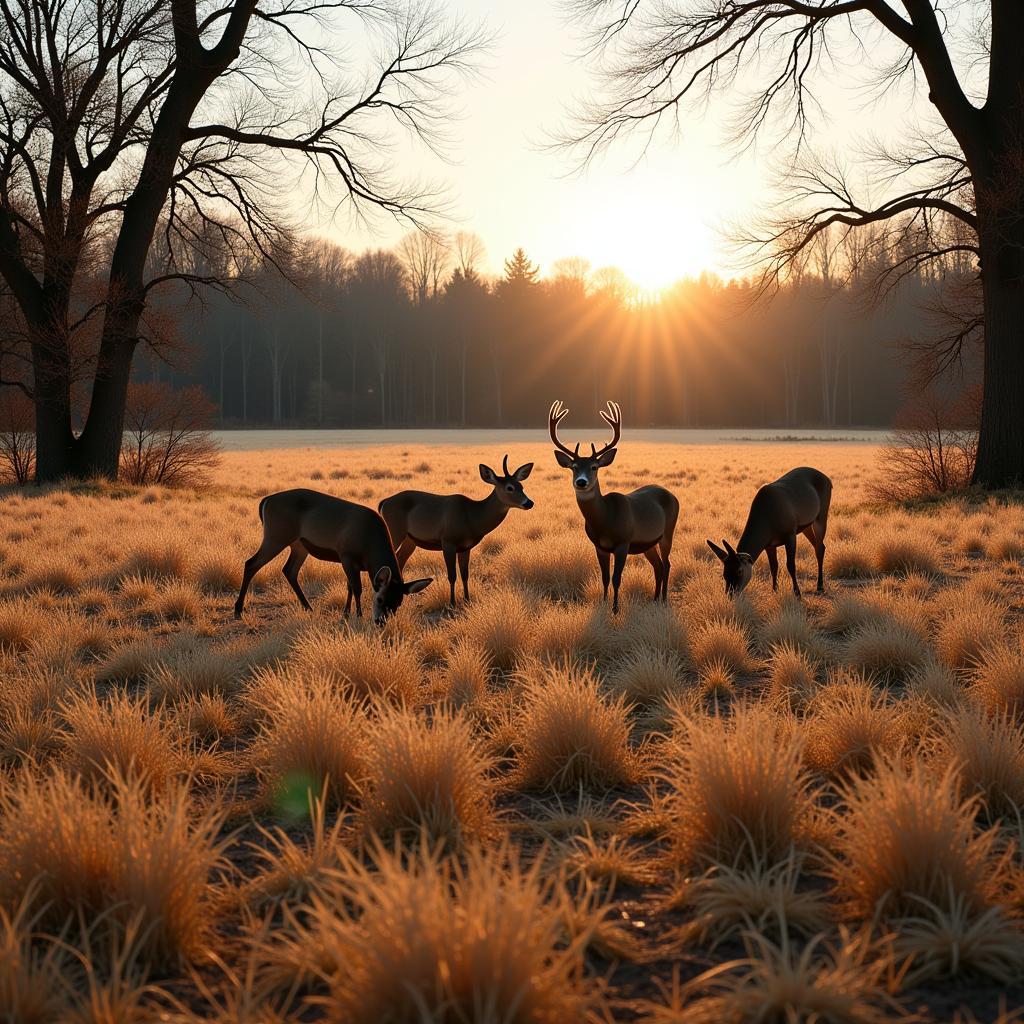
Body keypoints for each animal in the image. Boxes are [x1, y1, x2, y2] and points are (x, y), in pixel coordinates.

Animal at [234, 487, 430, 622]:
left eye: (398, 602)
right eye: (380, 599)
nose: (380, 622)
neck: (369, 543)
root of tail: (266, 501)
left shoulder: (353, 563)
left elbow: (349, 586)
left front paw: (346, 614)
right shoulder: (346, 555)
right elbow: (356, 587)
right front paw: (358, 615)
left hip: (299, 545)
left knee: (289, 570)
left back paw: (308, 608)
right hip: (276, 536)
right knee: (251, 563)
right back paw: (238, 610)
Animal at [376, 452, 536, 602]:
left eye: (521, 486)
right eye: (509, 487)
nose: (529, 503)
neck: (472, 517)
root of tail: (384, 502)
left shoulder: (465, 547)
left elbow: (465, 575)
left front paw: (467, 600)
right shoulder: (448, 542)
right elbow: (452, 575)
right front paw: (452, 603)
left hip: (410, 540)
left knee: (399, 559)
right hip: (394, 531)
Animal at [552, 399, 679, 610]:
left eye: (594, 467)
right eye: (574, 467)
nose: (581, 482)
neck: (605, 520)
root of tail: (672, 495)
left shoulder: (623, 543)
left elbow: (616, 578)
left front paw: (615, 609)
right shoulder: (599, 546)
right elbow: (604, 577)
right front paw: (604, 604)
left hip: (668, 532)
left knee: (667, 564)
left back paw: (663, 599)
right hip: (648, 543)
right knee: (658, 566)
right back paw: (654, 599)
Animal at [708, 466, 835, 598]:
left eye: (739, 571)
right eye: (724, 572)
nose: (731, 594)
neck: (768, 520)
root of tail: (828, 480)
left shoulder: (790, 534)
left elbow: (790, 565)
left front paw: (797, 593)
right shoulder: (769, 544)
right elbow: (774, 566)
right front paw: (774, 590)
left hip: (821, 515)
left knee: (820, 548)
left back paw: (820, 586)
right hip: (806, 527)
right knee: (818, 545)